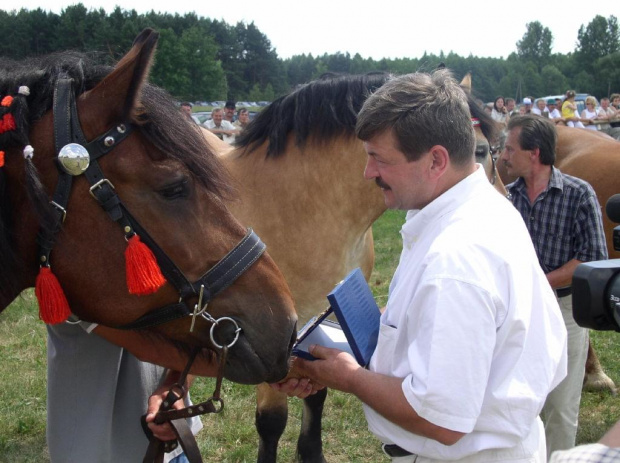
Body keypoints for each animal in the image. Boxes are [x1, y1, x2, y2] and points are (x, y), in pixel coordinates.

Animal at [201, 70, 502, 462]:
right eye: (479, 150)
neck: (297, 205)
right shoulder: (271, 337)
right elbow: (271, 422)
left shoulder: (315, 321)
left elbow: (318, 395)